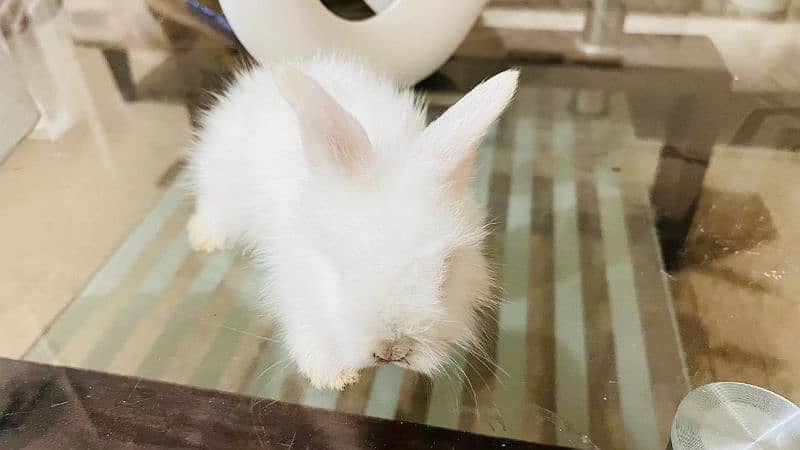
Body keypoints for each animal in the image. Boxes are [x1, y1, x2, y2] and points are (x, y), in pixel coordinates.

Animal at [184, 54, 516, 388]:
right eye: (340, 270)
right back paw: (203, 238)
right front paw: (333, 377)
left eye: (446, 271)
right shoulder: (296, 285)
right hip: (221, 183)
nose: (393, 351)